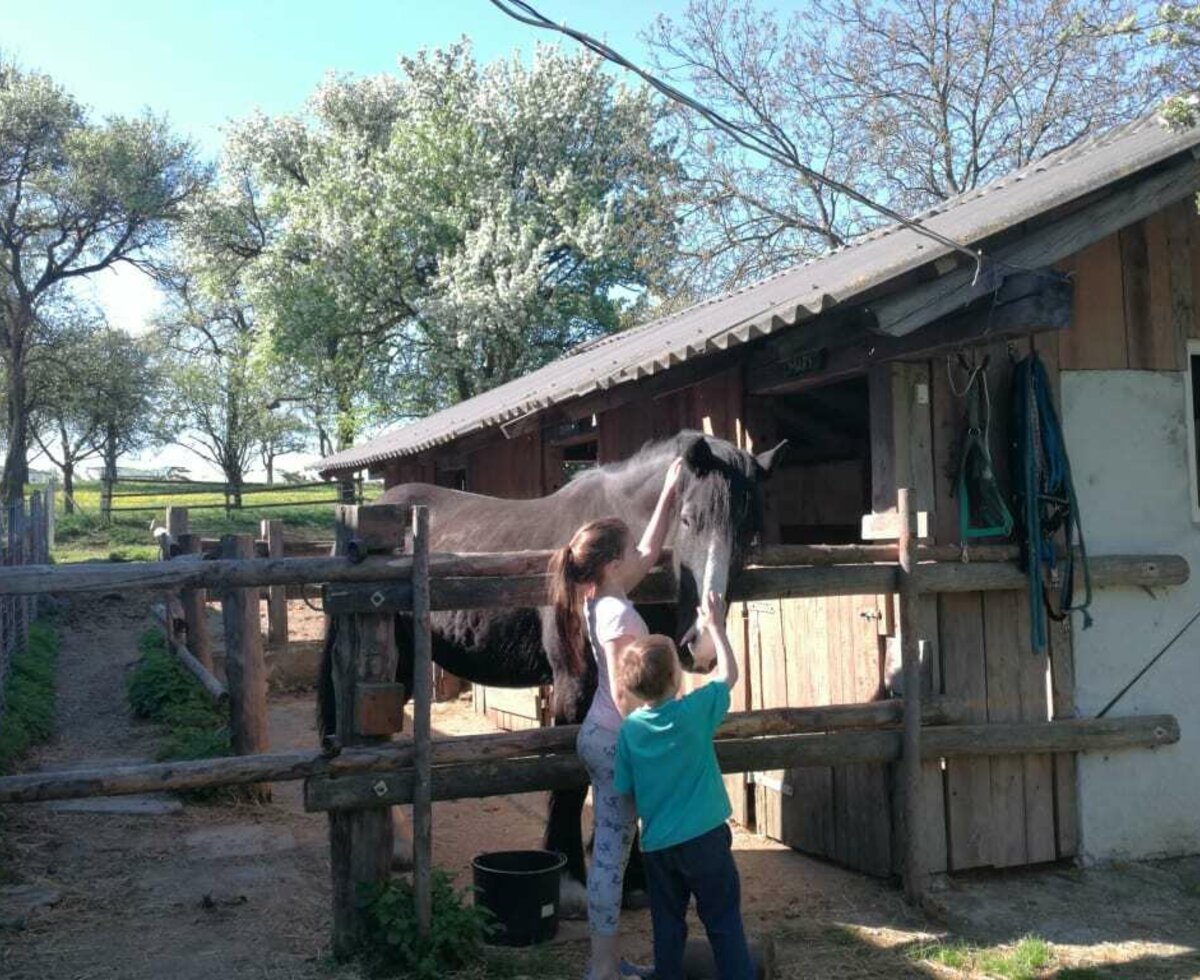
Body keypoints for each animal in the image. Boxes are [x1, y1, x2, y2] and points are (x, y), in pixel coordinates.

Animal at [319, 427, 787, 911]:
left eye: (750, 532)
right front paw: (570, 882)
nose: (703, 644)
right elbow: (569, 775)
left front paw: (634, 879)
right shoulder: (575, 684)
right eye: (690, 519)